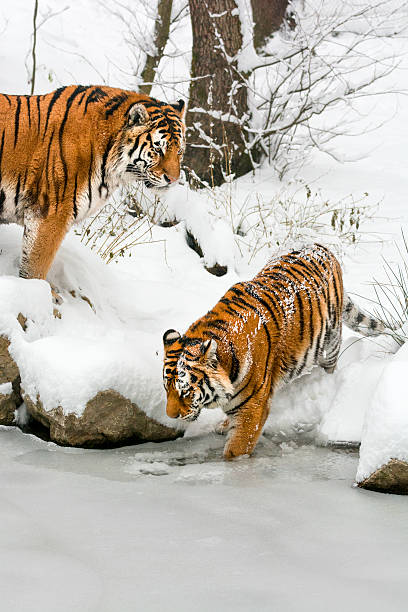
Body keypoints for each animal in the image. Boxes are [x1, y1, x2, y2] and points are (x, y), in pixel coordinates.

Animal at [163, 244, 388, 460]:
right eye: (167, 389)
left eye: (186, 391)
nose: (171, 417)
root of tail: (322, 247)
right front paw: (225, 424)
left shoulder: (253, 407)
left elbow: (235, 450)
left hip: (331, 337)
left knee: (330, 364)